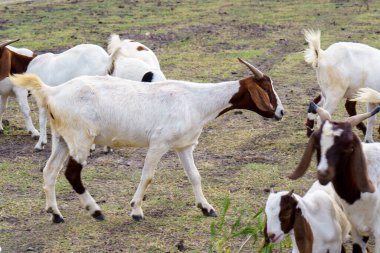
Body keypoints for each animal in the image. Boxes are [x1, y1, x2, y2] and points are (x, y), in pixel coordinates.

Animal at [10, 58, 284, 223]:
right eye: (268, 90)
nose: (281, 112)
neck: (196, 100)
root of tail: (53, 92)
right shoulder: (159, 144)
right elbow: (148, 176)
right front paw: (136, 210)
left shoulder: (184, 146)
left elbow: (195, 176)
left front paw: (206, 208)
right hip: (81, 138)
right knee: (72, 174)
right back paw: (96, 210)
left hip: (62, 138)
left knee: (49, 172)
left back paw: (55, 214)